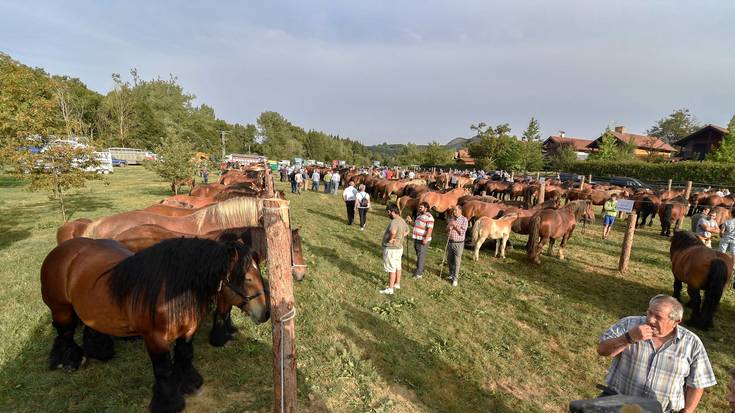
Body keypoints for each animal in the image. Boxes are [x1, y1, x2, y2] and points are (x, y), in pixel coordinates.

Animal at [41, 237, 270, 410]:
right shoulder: (155, 339)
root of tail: (61, 250)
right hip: (61, 309)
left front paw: (190, 384)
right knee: (64, 333)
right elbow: (163, 370)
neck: (170, 292)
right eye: (246, 278)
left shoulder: (188, 331)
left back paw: (98, 352)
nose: (266, 313)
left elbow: (185, 356)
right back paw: (68, 362)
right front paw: (169, 403)